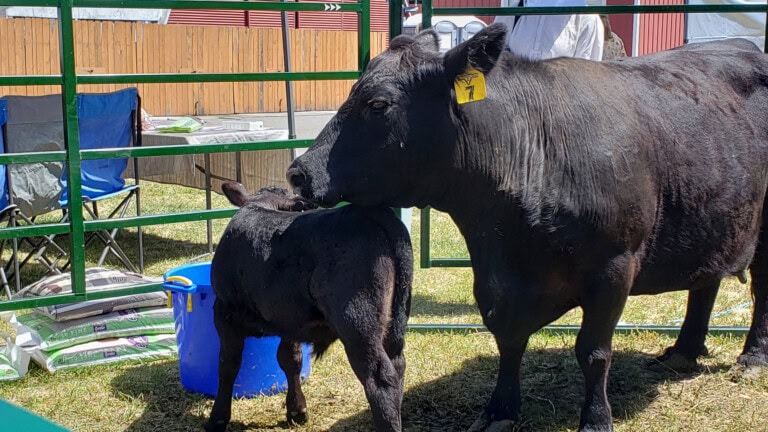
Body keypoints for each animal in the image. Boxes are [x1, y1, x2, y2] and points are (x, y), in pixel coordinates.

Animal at [205, 183, 413, 432]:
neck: (262, 204)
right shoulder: (289, 320)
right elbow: (290, 359)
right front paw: (296, 410)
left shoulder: (224, 311)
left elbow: (228, 364)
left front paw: (217, 418)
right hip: (394, 321)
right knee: (398, 365)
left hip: (358, 323)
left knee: (380, 377)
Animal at [286, 23, 768, 431]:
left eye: (378, 104)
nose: (298, 172)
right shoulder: (497, 281)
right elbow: (509, 339)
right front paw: (499, 410)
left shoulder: (615, 266)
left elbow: (593, 352)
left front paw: (596, 419)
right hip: (715, 213)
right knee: (705, 281)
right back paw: (684, 351)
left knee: (759, 292)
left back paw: (752, 357)